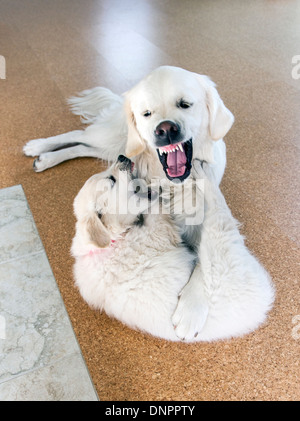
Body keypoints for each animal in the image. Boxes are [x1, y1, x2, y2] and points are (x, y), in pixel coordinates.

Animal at [72, 155, 274, 342]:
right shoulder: (162, 229)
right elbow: (163, 215)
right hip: (222, 244)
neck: (116, 240)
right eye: (111, 180)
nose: (122, 157)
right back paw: (203, 174)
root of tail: (264, 302)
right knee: (217, 208)